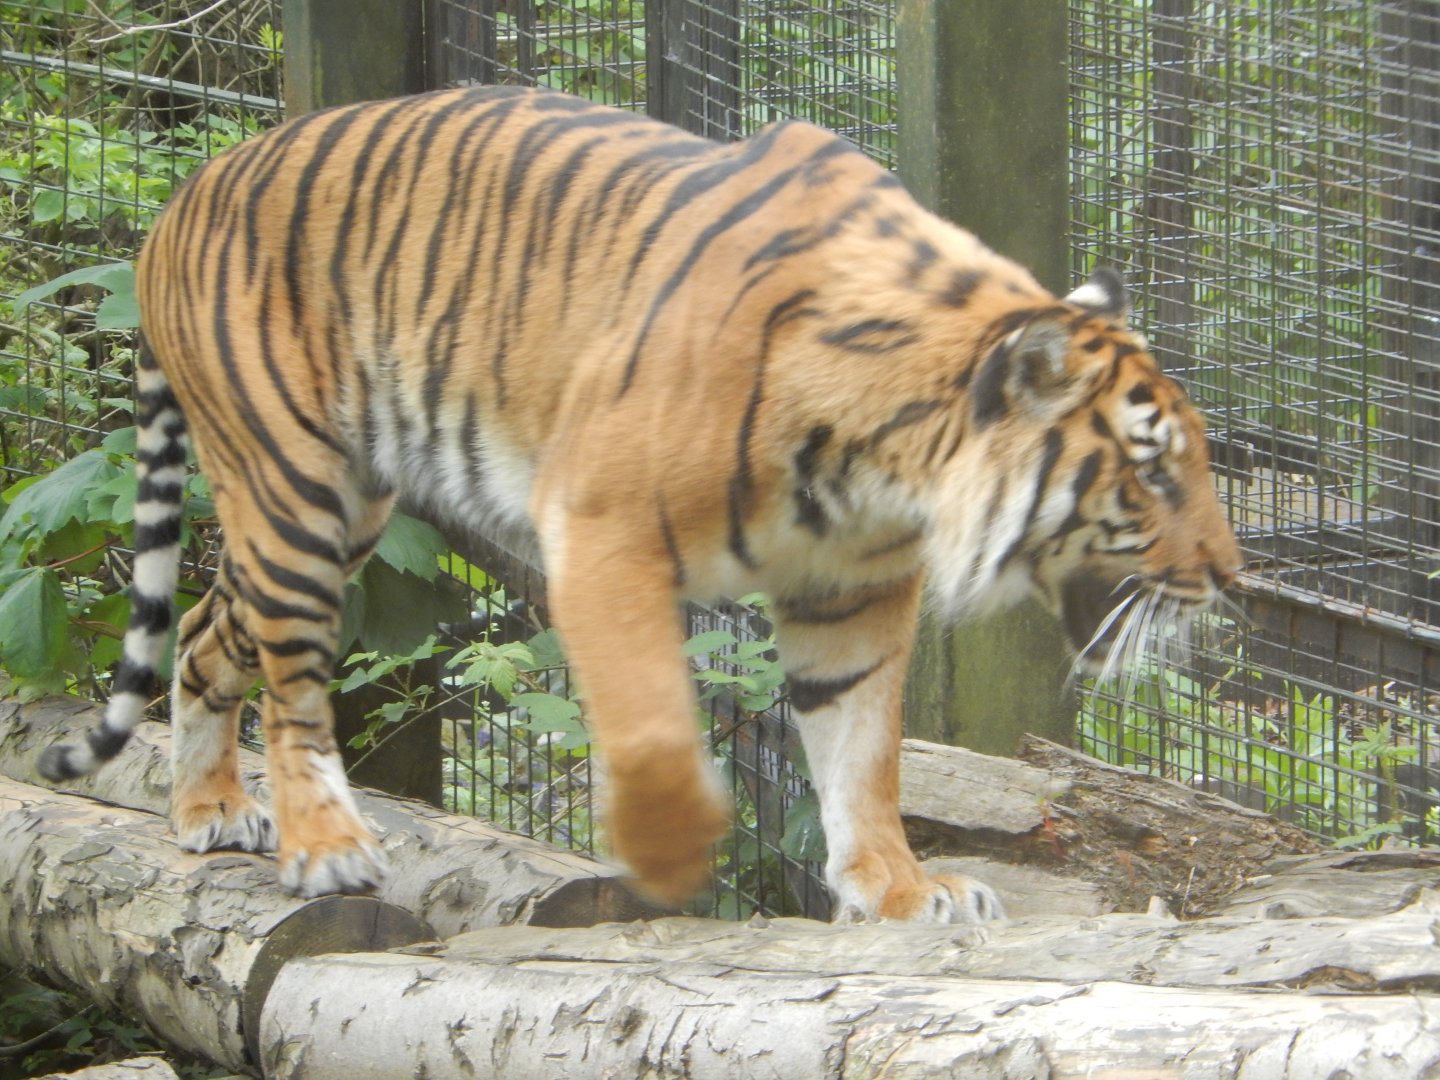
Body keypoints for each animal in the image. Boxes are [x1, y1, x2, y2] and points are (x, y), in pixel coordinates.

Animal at [38, 85, 1240, 923]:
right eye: (1152, 470)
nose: (1231, 578)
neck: (880, 459)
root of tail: (179, 199)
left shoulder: (850, 594)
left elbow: (863, 752)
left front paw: (903, 892)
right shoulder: (600, 531)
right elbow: (656, 727)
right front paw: (669, 858)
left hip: (345, 514)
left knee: (204, 630)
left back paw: (207, 810)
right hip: (295, 493)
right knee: (288, 681)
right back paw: (321, 843)